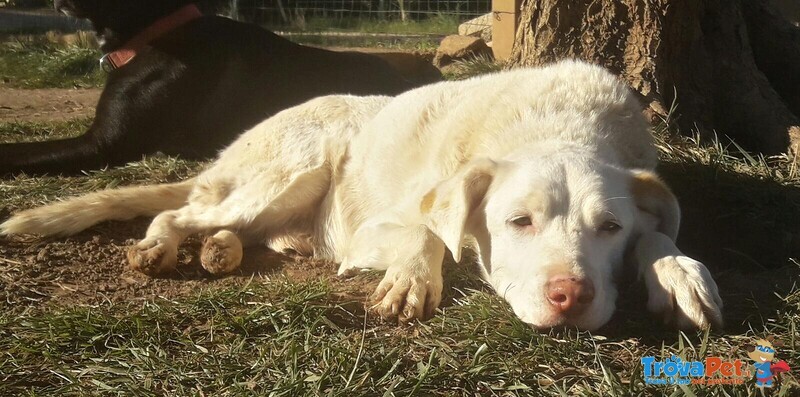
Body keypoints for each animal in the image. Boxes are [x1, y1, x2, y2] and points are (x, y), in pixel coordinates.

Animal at [1, 60, 724, 330]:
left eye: (610, 230)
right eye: (517, 221)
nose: (570, 296)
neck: (558, 121)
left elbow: (663, 231)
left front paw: (677, 271)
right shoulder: (383, 225)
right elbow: (427, 233)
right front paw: (412, 280)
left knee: (231, 227)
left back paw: (220, 251)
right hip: (294, 167)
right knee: (180, 210)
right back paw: (164, 246)